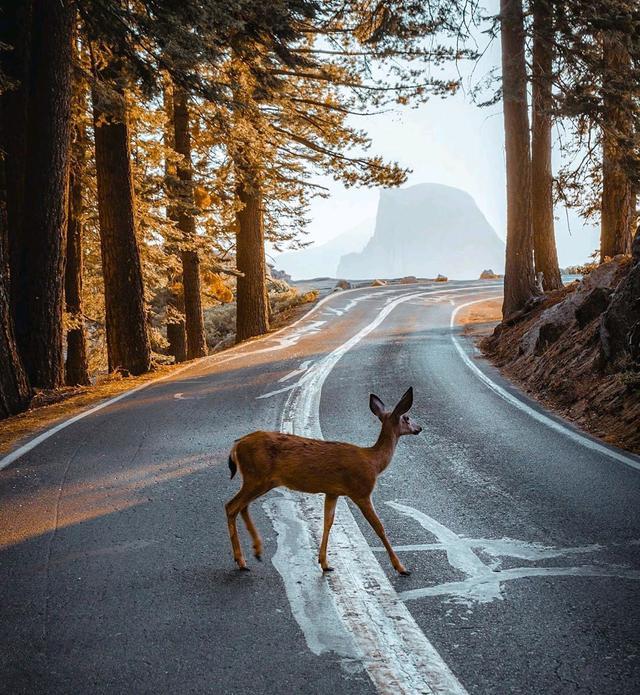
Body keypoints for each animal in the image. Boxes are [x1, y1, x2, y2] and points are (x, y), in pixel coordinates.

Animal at [222, 386, 422, 576]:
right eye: (407, 417)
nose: (419, 428)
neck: (374, 461)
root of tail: (236, 445)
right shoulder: (361, 491)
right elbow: (379, 527)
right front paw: (401, 567)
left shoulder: (333, 492)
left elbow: (328, 522)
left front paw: (325, 563)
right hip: (256, 477)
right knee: (231, 506)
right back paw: (241, 561)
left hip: (261, 480)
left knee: (242, 506)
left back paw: (256, 551)